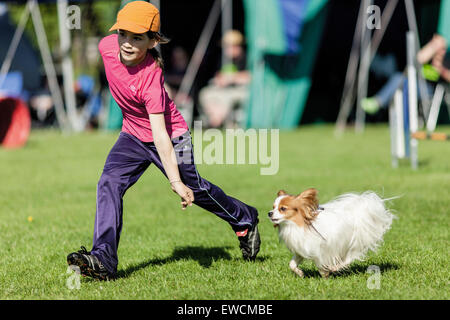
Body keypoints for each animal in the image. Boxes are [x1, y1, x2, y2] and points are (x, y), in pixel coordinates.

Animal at [268, 188, 396, 278]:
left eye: (283, 209)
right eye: (273, 207)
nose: (269, 213)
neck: (298, 225)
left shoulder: (323, 250)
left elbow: (321, 265)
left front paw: (325, 276)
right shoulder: (302, 249)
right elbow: (292, 264)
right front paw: (300, 273)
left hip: (355, 242)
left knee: (350, 257)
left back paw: (336, 267)